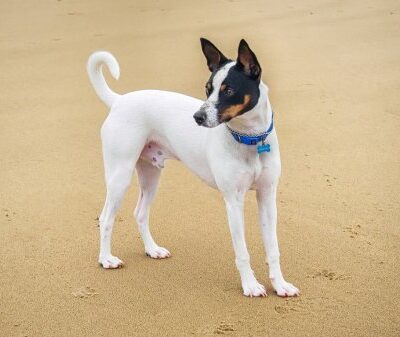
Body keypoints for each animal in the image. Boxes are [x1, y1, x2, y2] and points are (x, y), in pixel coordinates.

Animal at [87, 38, 298, 296]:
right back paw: (106, 259)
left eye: (229, 90)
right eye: (207, 89)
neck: (250, 139)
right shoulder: (233, 202)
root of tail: (119, 100)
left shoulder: (267, 197)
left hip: (151, 176)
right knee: (106, 217)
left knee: (140, 213)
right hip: (120, 175)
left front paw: (280, 284)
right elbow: (242, 253)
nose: (197, 117)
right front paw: (250, 285)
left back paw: (152, 249)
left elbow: (273, 248)